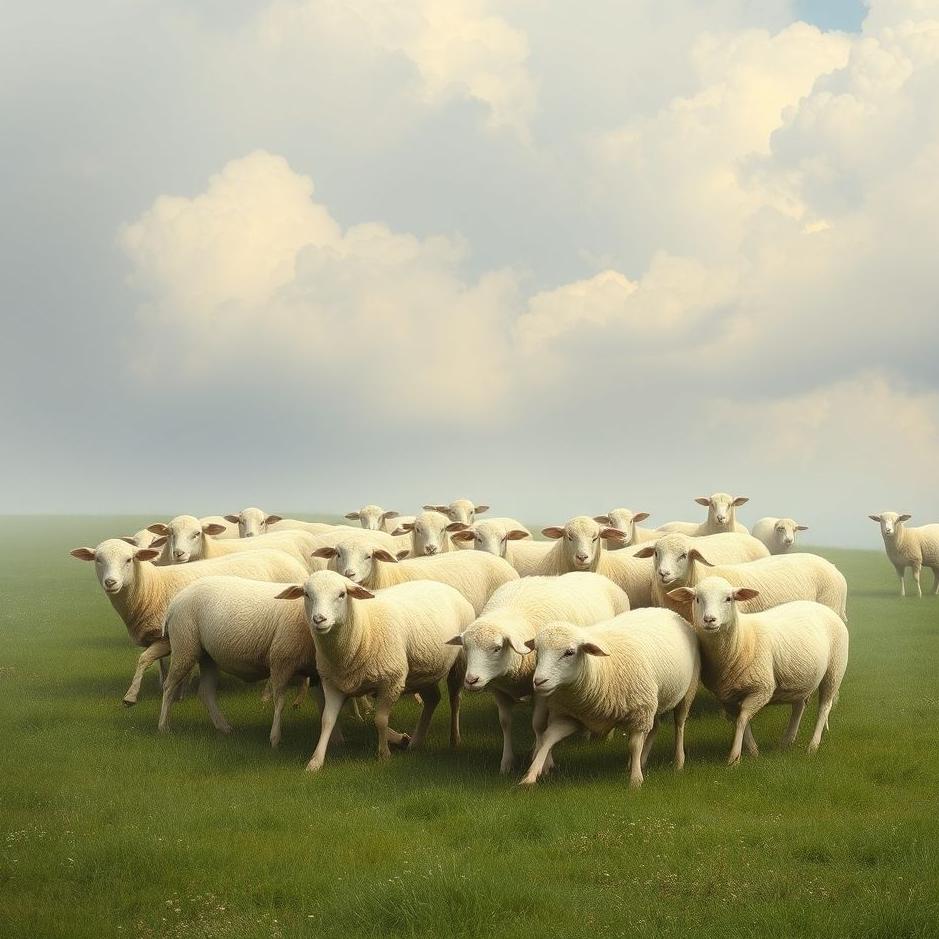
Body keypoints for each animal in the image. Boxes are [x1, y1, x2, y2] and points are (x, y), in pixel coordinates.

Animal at [69, 539, 307, 705]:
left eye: (129, 560)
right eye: (98, 560)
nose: (111, 582)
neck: (151, 588)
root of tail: (296, 564)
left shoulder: (172, 637)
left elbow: (148, 660)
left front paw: (139, 696)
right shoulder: (160, 638)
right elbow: (155, 662)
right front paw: (163, 689)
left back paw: (271, 695)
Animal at [274, 570, 475, 770]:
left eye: (342, 594)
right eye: (307, 594)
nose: (319, 619)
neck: (362, 629)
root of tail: (446, 587)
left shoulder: (392, 681)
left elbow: (380, 720)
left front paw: (384, 754)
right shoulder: (332, 683)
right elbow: (327, 720)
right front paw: (315, 762)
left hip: (459, 663)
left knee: (454, 700)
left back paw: (454, 739)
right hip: (423, 670)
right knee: (433, 698)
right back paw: (415, 742)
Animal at [446, 572, 630, 773]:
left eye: (497, 648)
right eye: (465, 647)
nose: (471, 680)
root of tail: (595, 574)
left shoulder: (543, 688)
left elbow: (539, 724)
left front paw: (544, 762)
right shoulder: (499, 689)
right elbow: (505, 722)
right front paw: (507, 762)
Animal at [519, 609, 700, 788]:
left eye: (569, 652)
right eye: (537, 651)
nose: (538, 681)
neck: (597, 669)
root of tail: (667, 611)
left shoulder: (639, 712)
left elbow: (634, 745)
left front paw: (635, 780)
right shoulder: (571, 716)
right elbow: (548, 738)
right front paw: (531, 775)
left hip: (686, 692)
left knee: (679, 725)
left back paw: (678, 761)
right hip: (653, 700)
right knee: (654, 727)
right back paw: (642, 760)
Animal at [667, 576, 848, 763]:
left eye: (729, 599)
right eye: (697, 599)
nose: (710, 620)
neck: (741, 640)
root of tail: (824, 608)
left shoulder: (762, 689)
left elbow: (742, 719)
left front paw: (734, 757)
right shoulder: (727, 696)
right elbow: (741, 720)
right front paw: (753, 751)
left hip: (835, 668)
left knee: (824, 707)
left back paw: (813, 745)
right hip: (800, 678)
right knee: (799, 706)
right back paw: (787, 740)